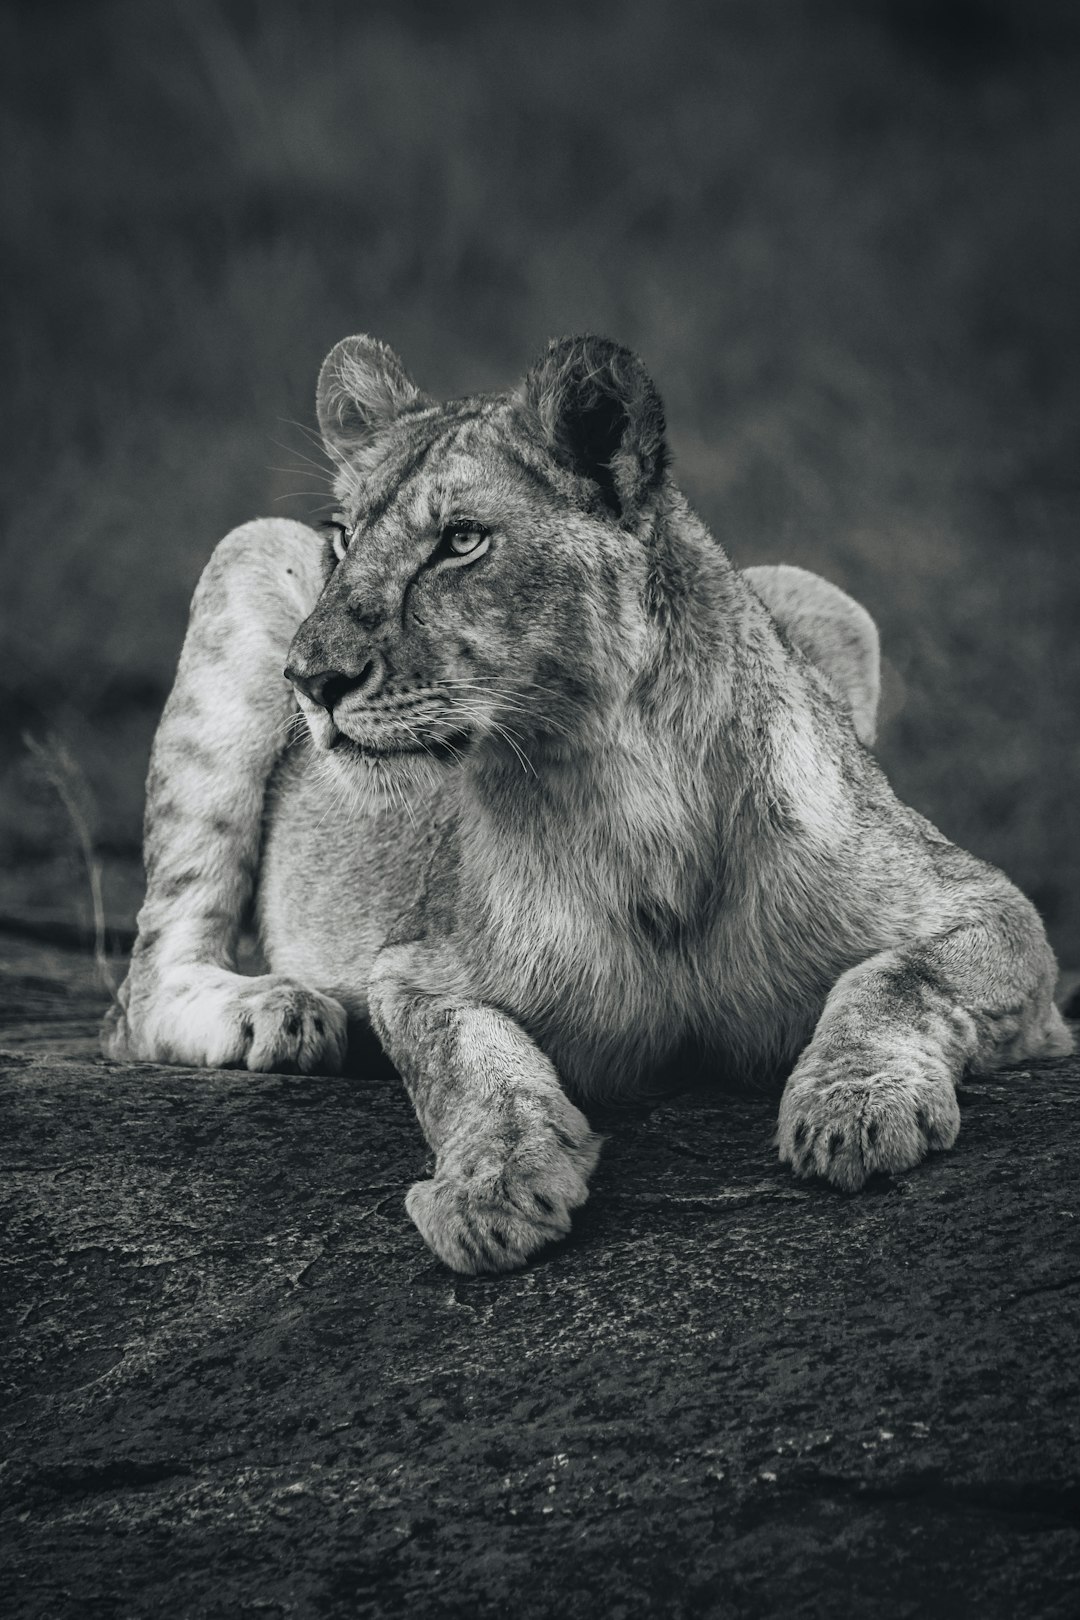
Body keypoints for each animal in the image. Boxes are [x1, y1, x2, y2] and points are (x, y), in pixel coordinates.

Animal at [103, 333, 1072, 1273]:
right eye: (340, 539)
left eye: (461, 540)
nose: (309, 680)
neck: (631, 798)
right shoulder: (419, 968)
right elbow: (470, 1063)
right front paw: (494, 1187)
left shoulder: (994, 913)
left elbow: (897, 978)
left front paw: (855, 1109)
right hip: (245, 556)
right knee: (141, 990)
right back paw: (281, 1013)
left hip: (827, 602)